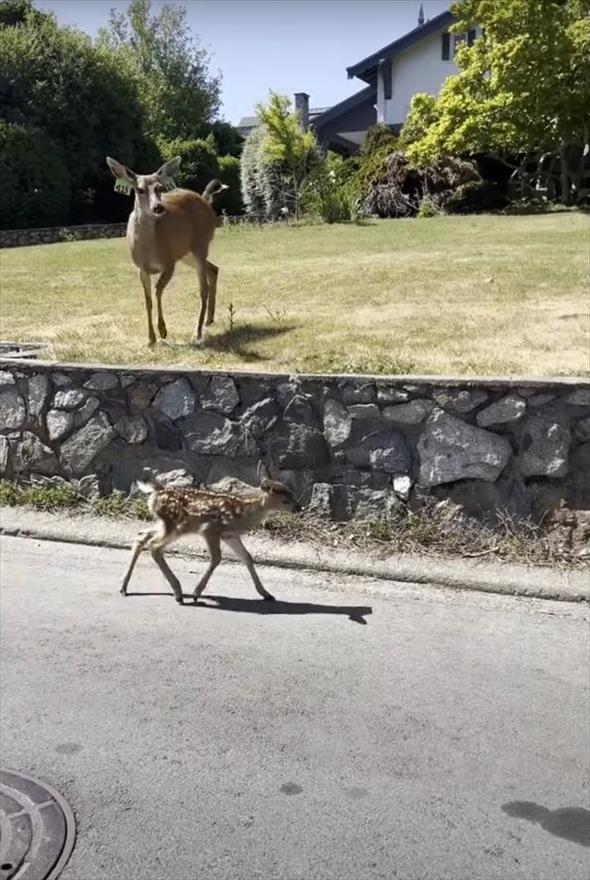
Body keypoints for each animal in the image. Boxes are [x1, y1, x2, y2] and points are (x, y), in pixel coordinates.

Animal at [106, 155, 227, 348]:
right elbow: (147, 300)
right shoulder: (141, 268)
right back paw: (209, 320)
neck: (149, 248)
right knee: (214, 269)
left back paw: (197, 333)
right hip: (186, 253)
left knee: (203, 288)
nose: (158, 207)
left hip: (201, 245)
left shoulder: (169, 263)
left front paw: (163, 331)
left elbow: (157, 291)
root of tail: (204, 199)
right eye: (139, 189)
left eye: (160, 188)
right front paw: (151, 339)